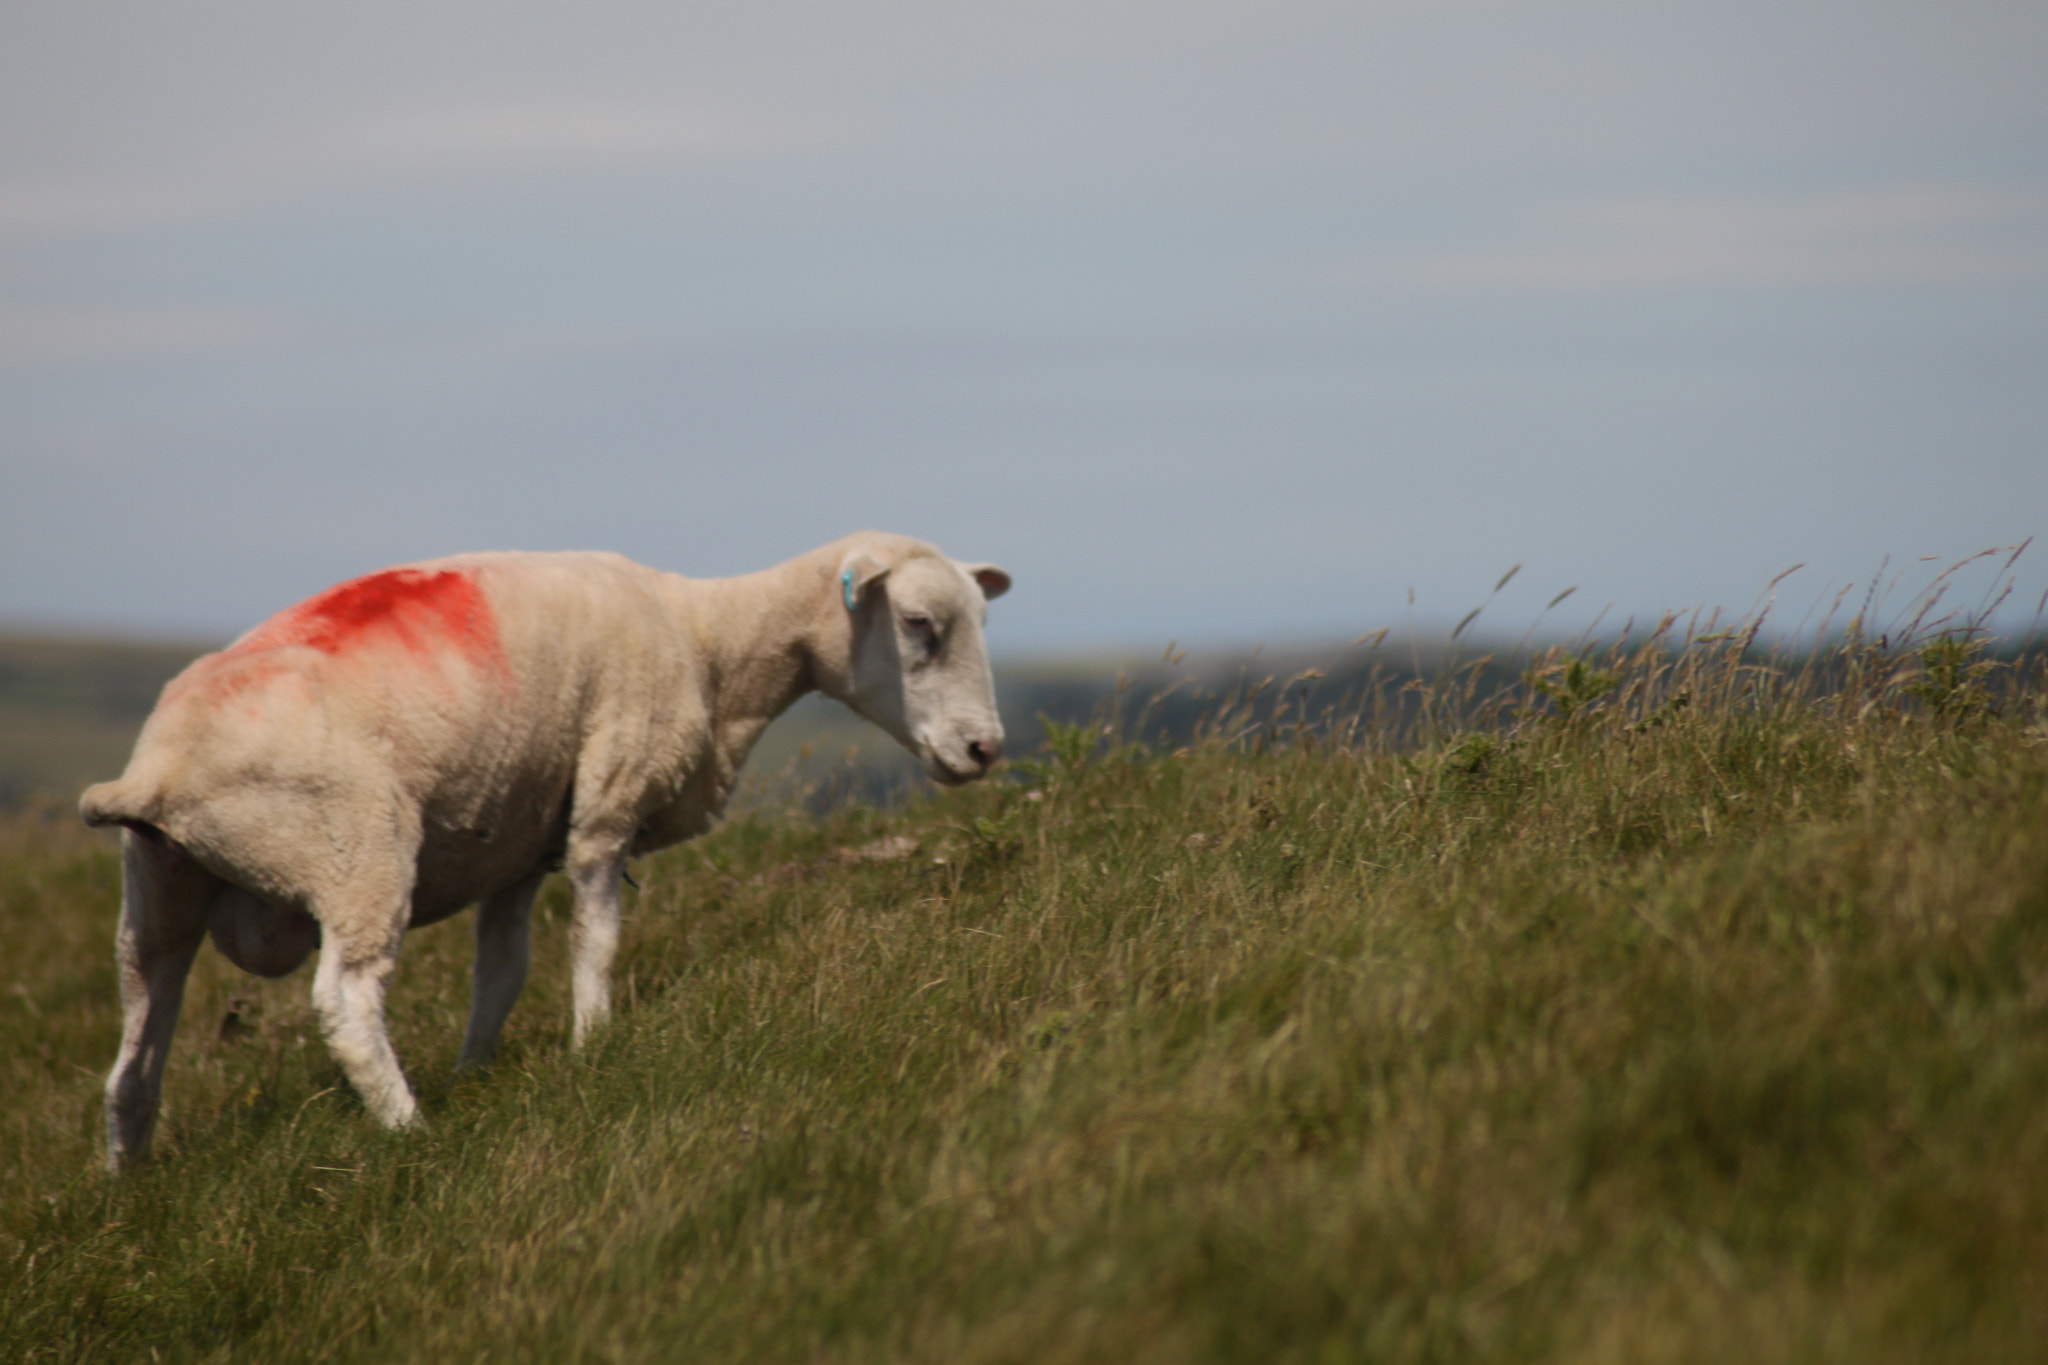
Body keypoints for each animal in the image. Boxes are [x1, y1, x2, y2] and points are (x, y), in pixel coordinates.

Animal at [79, 532, 1010, 1171]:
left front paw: (477, 1076)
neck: (710, 643)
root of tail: (157, 773)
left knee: (134, 1057)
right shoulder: (607, 802)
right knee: (345, 1001)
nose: (985, 749)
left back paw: (127, 1191)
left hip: (156, 890)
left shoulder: (520, 847)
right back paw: (412, 1131)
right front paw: (592, 1046)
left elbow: (502, 972)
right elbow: (596, 941)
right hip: (355, 850)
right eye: (919, 624)